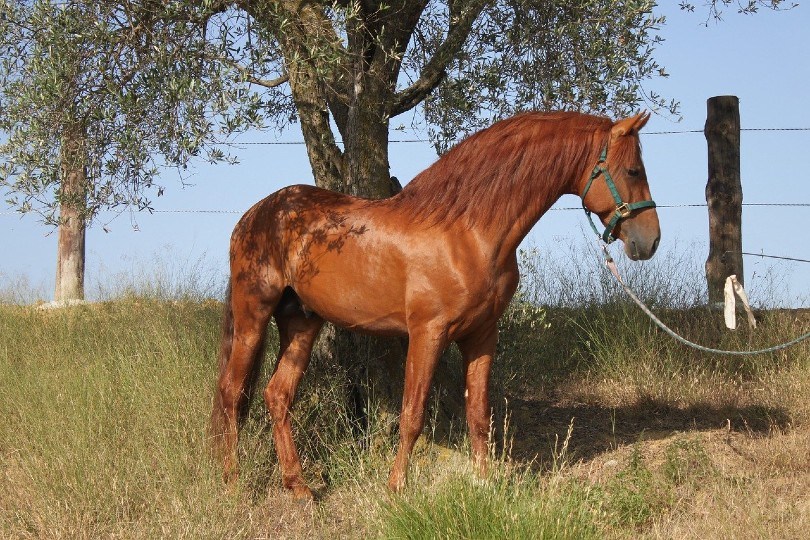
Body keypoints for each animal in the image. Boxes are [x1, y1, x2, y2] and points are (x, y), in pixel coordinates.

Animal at [210, 111, 660, 499]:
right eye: (634, 171)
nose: (650, 241)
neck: (467, 231)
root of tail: (253, 216)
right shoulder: (427, 332)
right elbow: (412, 416)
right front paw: (396, 490)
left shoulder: (482, 335)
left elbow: (478, 413)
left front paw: (484, 485)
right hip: (253, 314)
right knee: (231, 394)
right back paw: (231, 483)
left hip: (302, 321)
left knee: (276, 395)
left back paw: (299, 487)